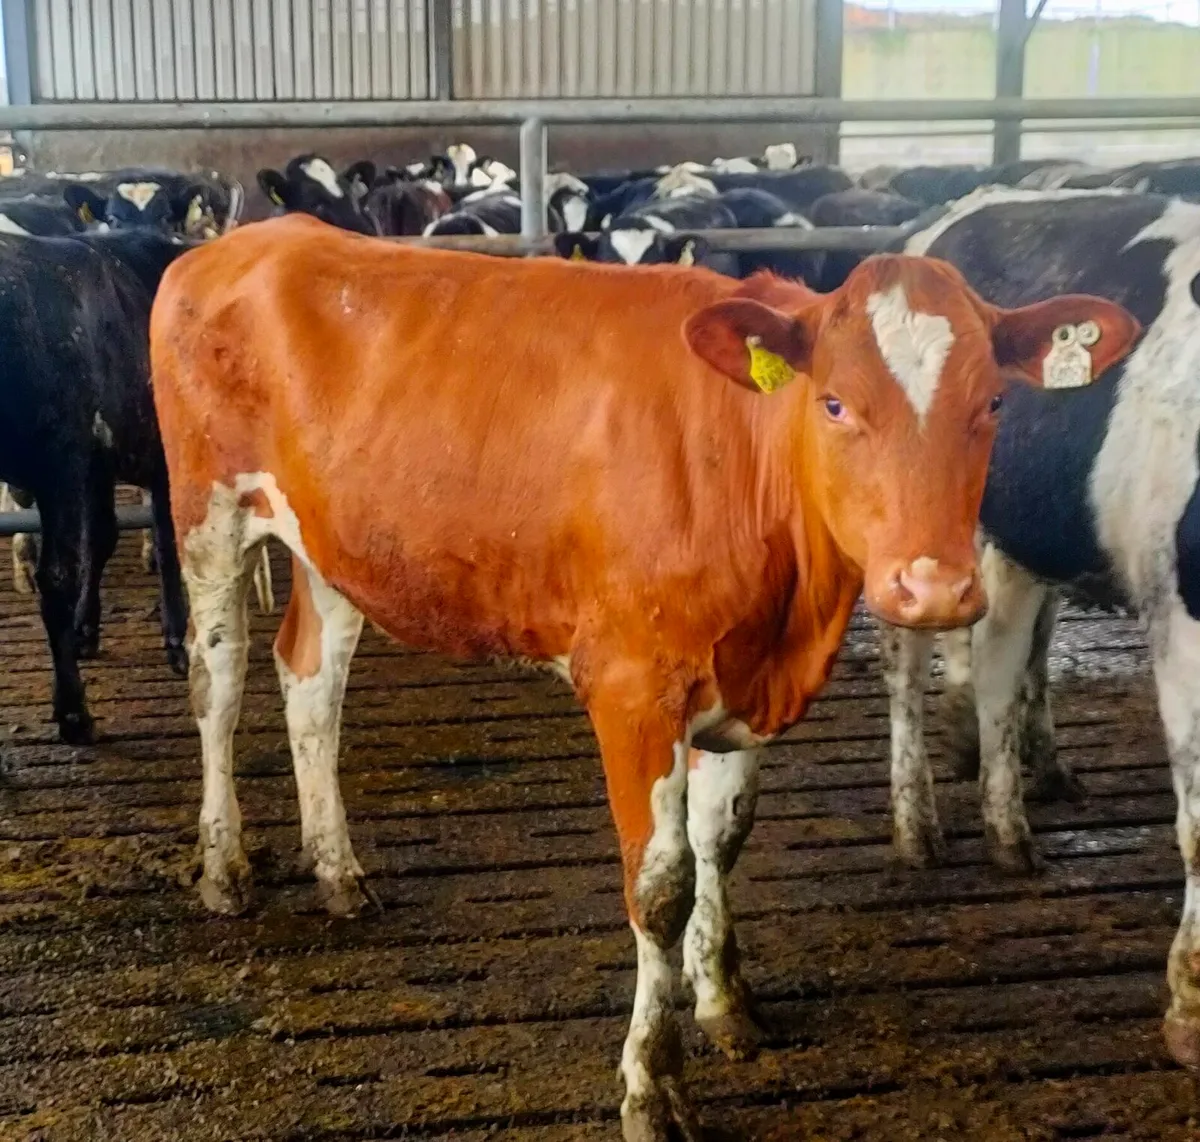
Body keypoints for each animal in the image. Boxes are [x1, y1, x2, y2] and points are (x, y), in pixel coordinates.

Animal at [149, 211, 1138, 1142]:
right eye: (833, 403)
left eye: (995, 403)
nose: (934, 586)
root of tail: (248, 240)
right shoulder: (631, 690)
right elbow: (661, 890)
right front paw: (651, 1086)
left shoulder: (739, 688)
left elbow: (722, 842)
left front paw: (726, 1003)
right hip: (207, 510)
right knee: (219, 680)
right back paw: (225, 867)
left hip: (334, 544)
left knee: (311, 682)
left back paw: (338, 871)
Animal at [873, 185, 1200, 1079]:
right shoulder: (1181, 616)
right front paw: (1189, 1009)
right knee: (906, 671)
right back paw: (918, 828)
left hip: (1010, 542)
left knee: (996, 666)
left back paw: (1007, 827)